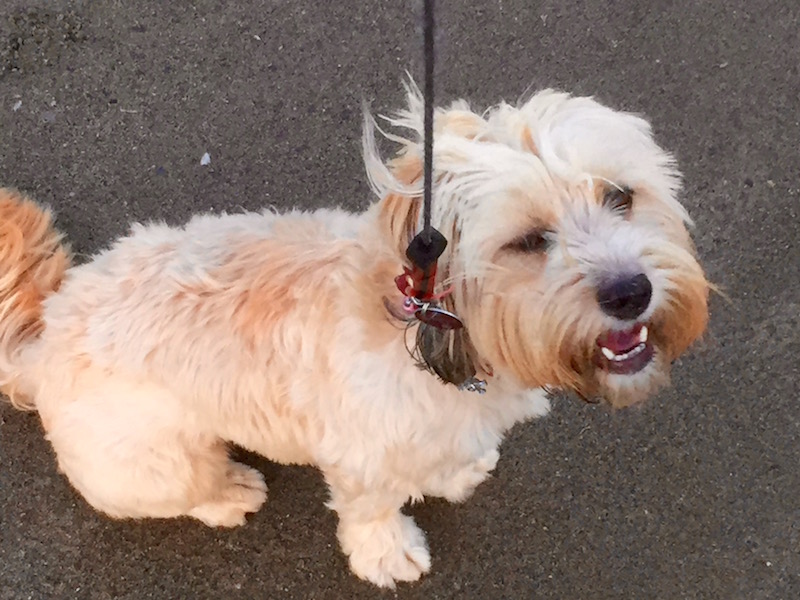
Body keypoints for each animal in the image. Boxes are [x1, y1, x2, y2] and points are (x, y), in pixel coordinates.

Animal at [0, 82, 708, 587]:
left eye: (620, 196)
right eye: (530, 241)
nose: (631, 291)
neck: (429, 325)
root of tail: (47, 335)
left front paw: (456, 470)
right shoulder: (359, 457)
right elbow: (371, 512)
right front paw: (389, 555)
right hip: (157, 462)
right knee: (181, 489)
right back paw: (228, 494)